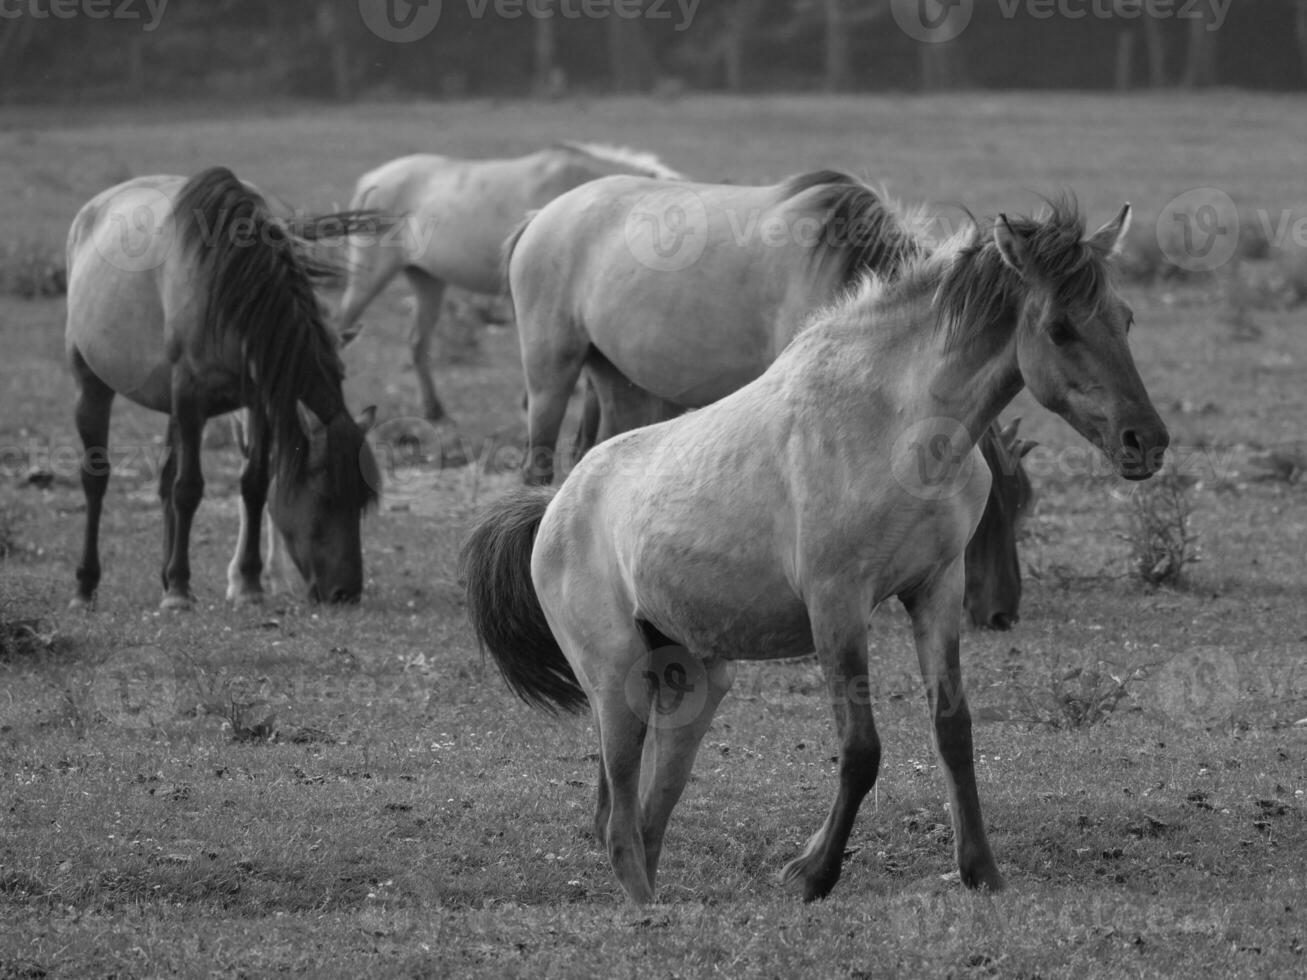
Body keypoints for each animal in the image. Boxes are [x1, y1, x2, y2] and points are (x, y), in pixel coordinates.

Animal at [65, 169, 381, 614]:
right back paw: (86, 586)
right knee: (96, 480)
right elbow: (188, 489)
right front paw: (180, 591)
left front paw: (248, 584)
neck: (232, 283)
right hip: (92, 384)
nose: (346, 593)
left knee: (163, 481)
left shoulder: (260, 400)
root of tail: (90, 211)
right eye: (324, 497)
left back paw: (163, 575)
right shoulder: (190, 396)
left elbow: (254, 483)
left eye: (361, 501)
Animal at [331, 141, 684, 423]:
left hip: (427, 280)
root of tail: (371, 179)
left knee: (418, 342)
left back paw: (434, 410)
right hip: (370, 276)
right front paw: (529, 401)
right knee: (343, 327)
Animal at [504, 168, 1035, 629]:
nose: (1002, 614)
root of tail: (541, 216)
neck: (836, 261)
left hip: (616, 379)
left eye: (1022, 506)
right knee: (538, 462)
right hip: (552, 370)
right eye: (988, 519)